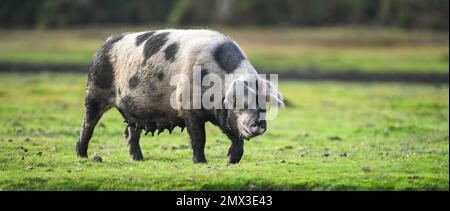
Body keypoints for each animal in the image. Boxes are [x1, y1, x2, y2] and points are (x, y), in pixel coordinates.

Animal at [75, 29, 284, 163]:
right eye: (237, 101)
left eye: (263, 103)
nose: (259, 123)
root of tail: (104, 44)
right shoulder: (189, 108)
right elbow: (199, 138)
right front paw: (201, 163)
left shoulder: (223, 116)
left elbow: (236, 137)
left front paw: (230, 161)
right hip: (94, 91)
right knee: (88, 125)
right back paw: (82, 156)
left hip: (135, 111)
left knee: (130, 133)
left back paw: (139, 160)